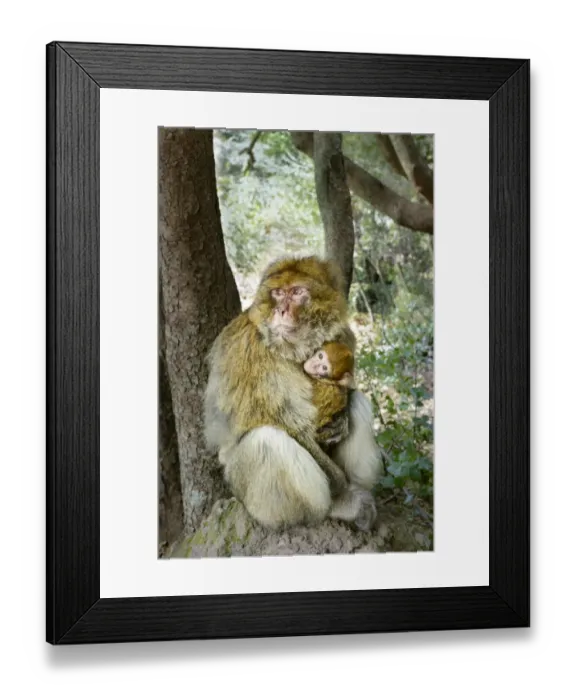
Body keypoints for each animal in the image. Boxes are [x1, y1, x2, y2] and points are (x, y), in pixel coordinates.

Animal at [203, 255, 383, 532]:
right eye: (278, 293)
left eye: (297, 292)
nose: (281, 310)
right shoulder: (250, 350)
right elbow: (290, 425)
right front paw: (341, 491)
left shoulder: (343, 335)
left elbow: (345, 390)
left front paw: (340, 423)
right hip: (239, 483)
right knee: (267, 440)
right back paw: (335, 507)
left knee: (358, 403)